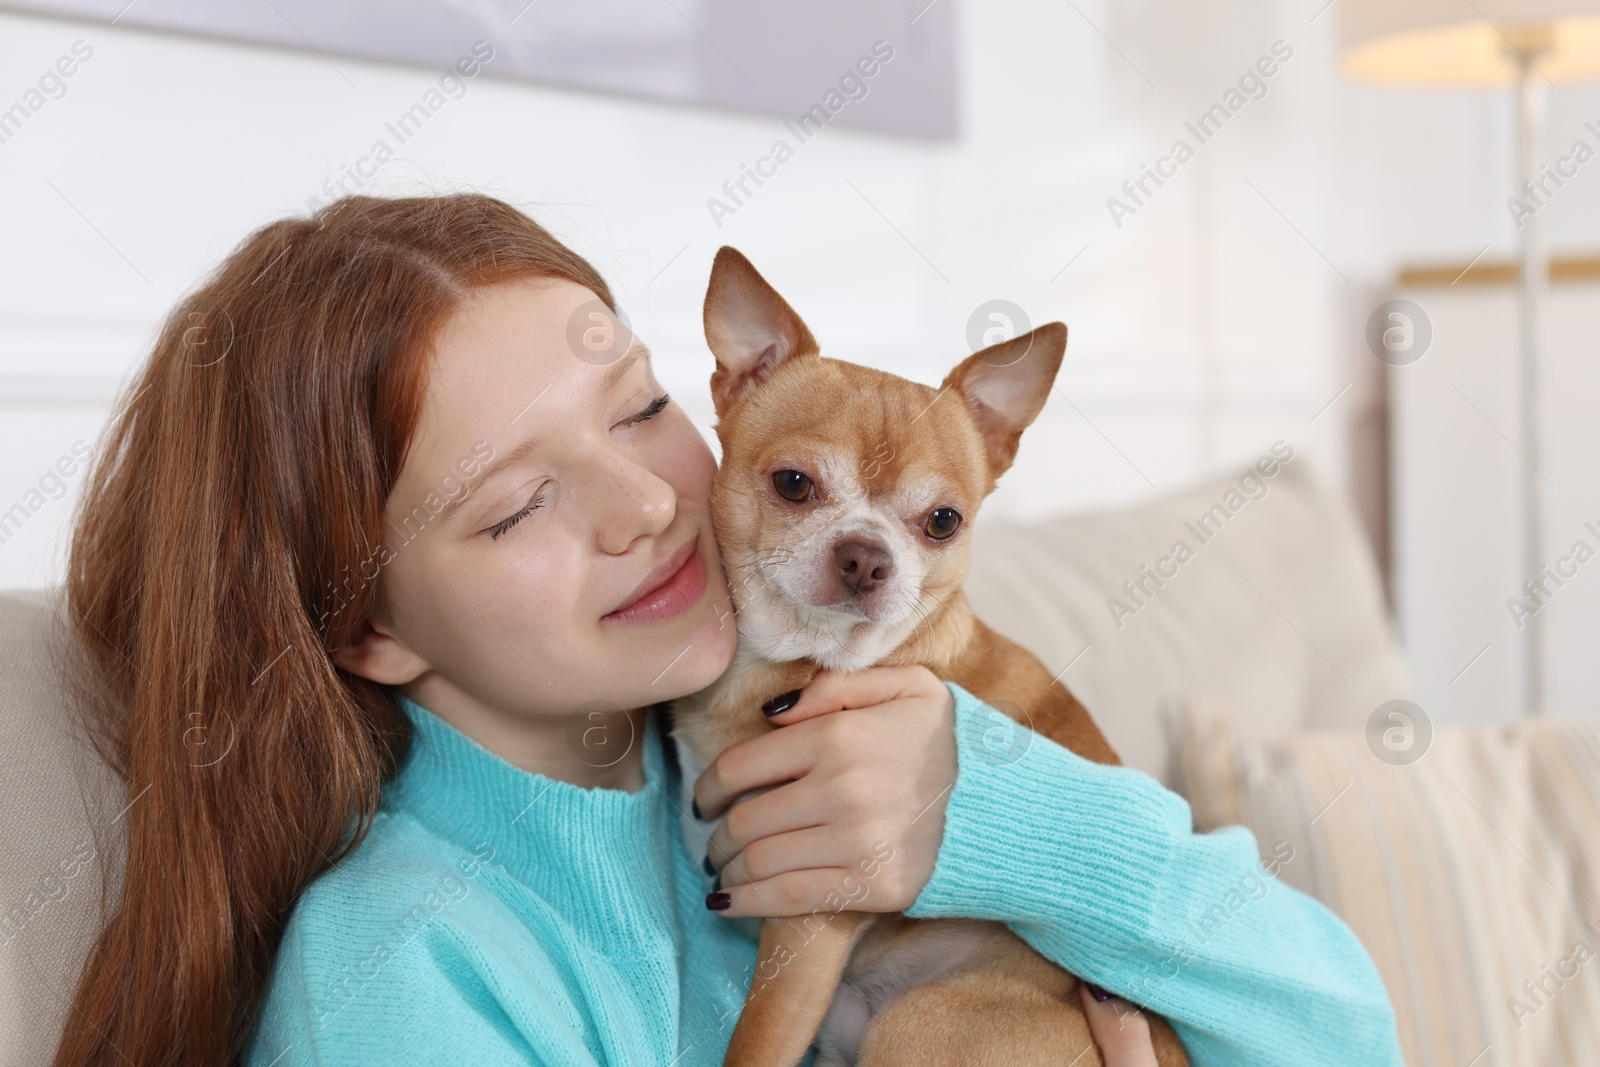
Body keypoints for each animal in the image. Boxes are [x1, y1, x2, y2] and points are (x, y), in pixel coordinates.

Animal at [665, 251, 1190, 1067]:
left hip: (918, 1022)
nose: (865, 555)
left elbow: (753, 1042)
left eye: (943, 521)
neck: (796, 662)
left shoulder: (807, 922)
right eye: (793, 484)